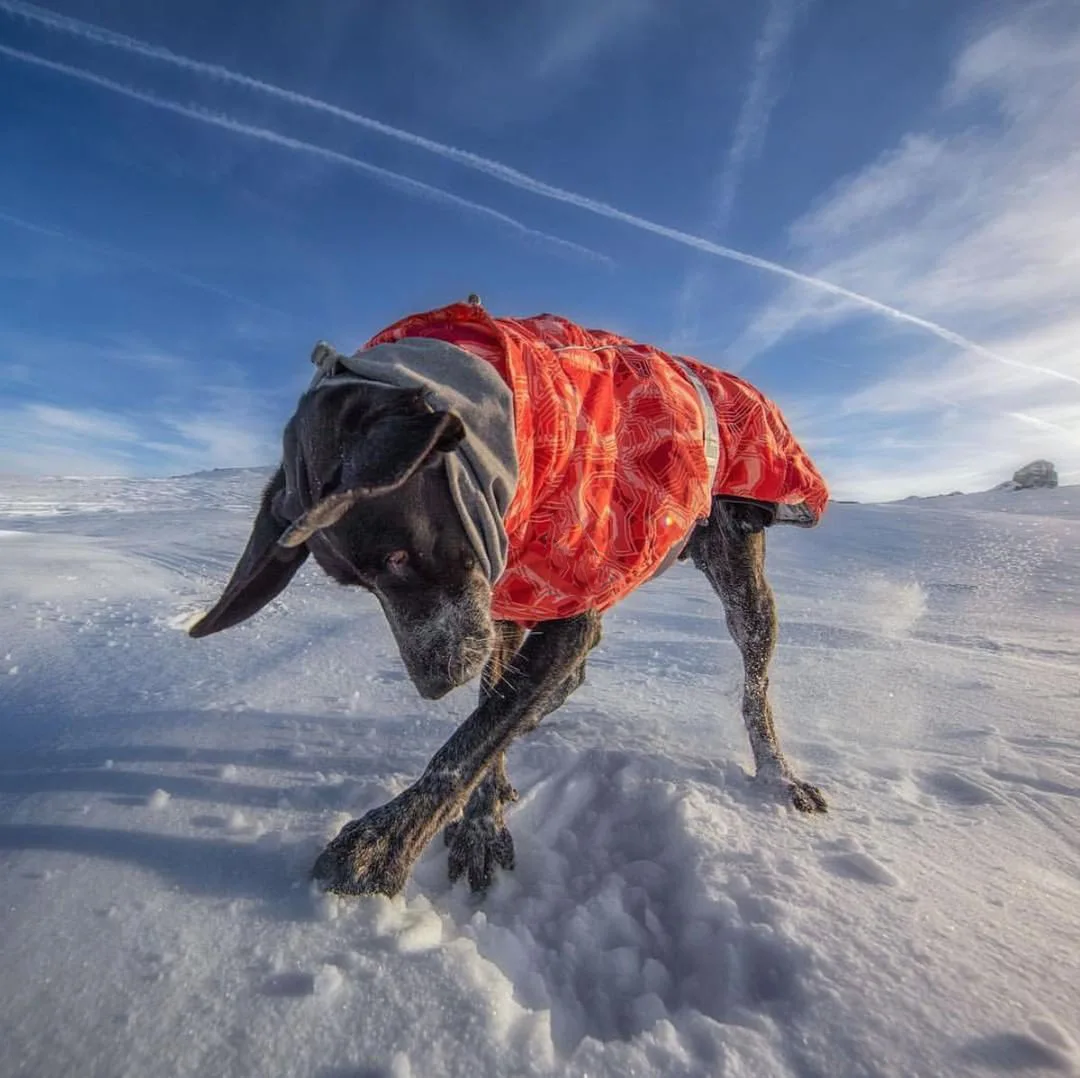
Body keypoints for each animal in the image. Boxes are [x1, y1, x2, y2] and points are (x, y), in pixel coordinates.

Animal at [187, 300, 825, 898]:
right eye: (361, 586)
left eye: (397, 558)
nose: (432, 683)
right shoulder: (503, 596)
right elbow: (492, 713)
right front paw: (482, 821)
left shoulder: (561, 612)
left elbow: (473, 739)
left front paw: (382, 844)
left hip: (744, 584)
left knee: (755, 688)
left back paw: (778, 776)